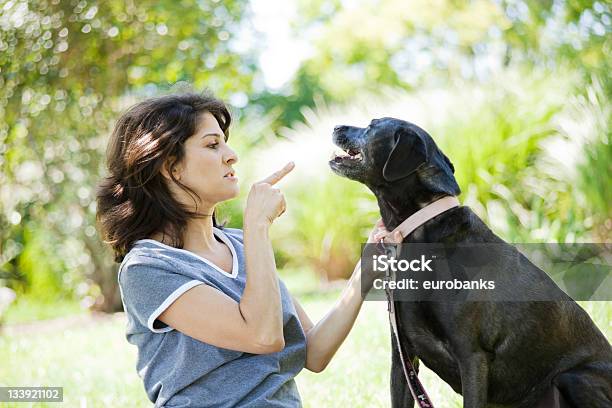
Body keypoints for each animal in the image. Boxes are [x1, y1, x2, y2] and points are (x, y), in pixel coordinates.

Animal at [332, 118, 608, 408]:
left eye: (372, 125)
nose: (336, 126)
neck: (419, 229)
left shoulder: (472, 356)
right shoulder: (402, 359)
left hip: (574, 377)